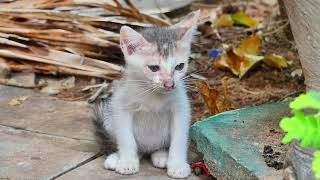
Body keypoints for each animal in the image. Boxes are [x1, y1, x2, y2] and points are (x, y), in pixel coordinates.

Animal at [94, 10, 200, 179]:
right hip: (108, 117)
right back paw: (117, 157)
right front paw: (127, 162)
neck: (153, 94)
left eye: (179, 66)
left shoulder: (181, 109)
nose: (169, 84)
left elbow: (179, 139)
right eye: (154, 68)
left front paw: (177, 165)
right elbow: (126, 138)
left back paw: (161, 155)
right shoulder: (121, 106)